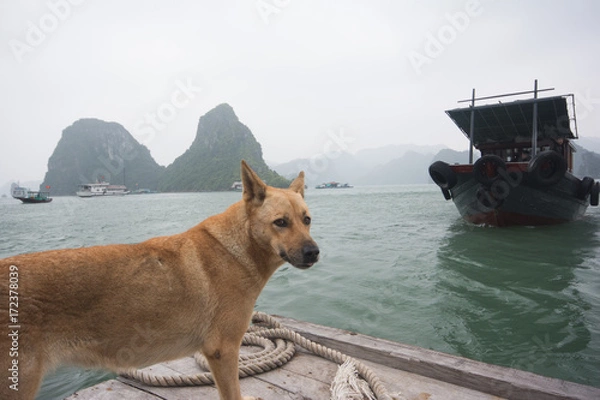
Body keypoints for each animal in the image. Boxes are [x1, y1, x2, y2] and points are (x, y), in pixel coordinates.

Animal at [0, 162, 318, 400]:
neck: (238, 246)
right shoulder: (224, 351)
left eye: (307, 220)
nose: (313, 252)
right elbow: (233, 394)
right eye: (280, 222)